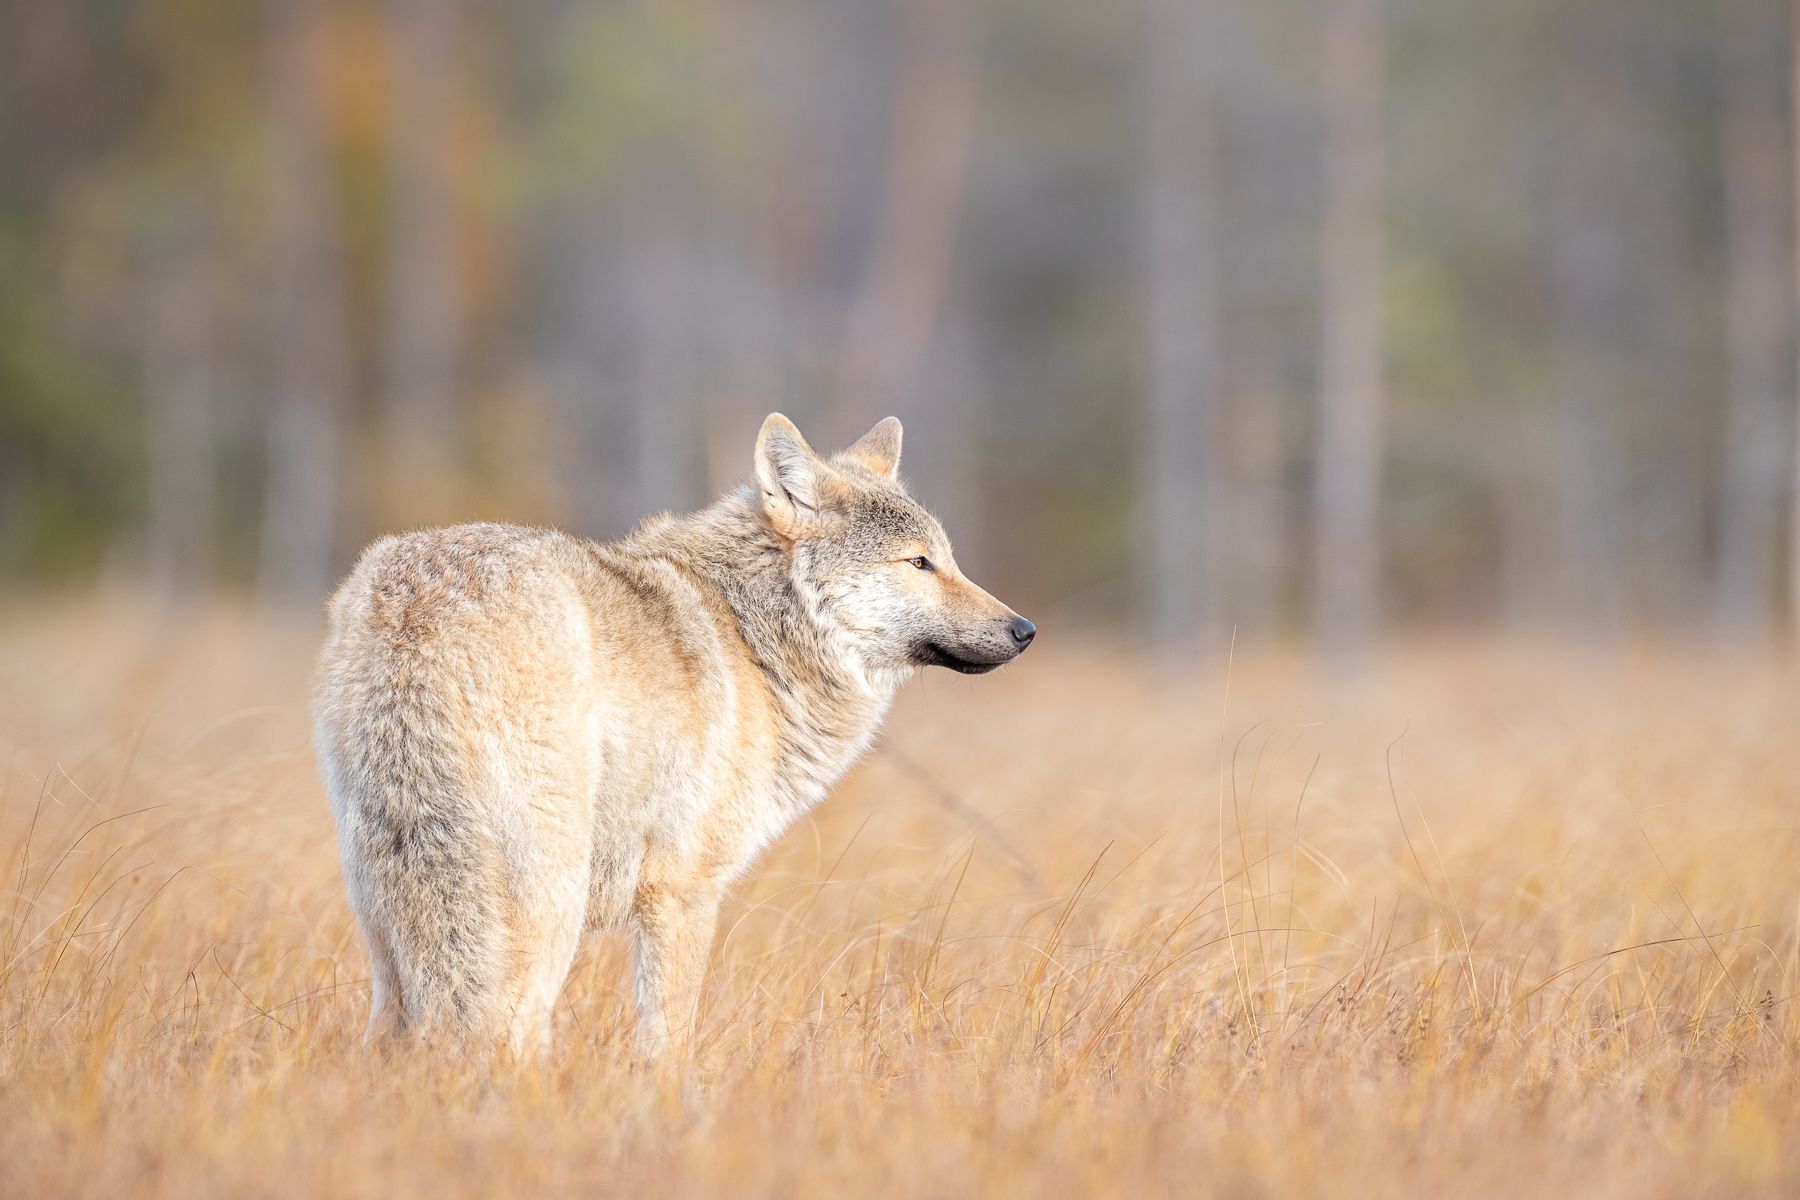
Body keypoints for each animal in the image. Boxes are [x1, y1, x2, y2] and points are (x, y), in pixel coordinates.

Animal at [312, 414, 1034, 1055]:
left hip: (389, 926)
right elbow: (669, 1045)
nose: (1025, 629)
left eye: (948, 560)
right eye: (918, 563)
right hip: (546, 910)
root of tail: (415, 611)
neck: (754, 641)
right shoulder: (685, 893)